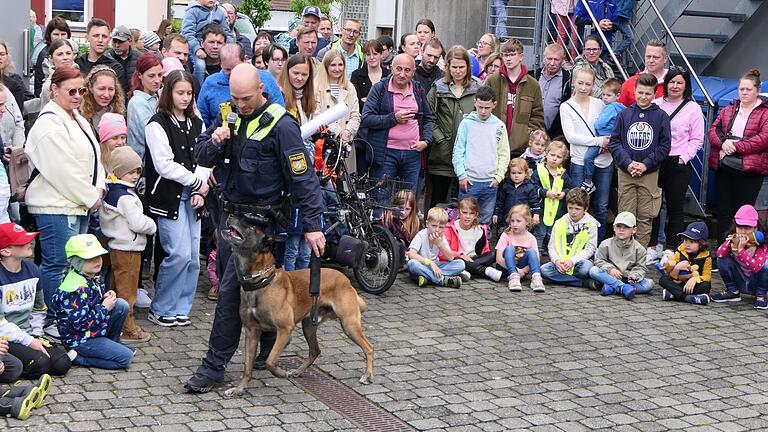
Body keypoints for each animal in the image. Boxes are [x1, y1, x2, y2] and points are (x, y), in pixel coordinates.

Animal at [219, 214, 376, 396]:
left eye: (250, 226)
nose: (231, 215)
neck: (261, 282)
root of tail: (345, 279)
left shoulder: (285, 329)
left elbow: (270, 360)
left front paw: (280, 373)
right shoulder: (251, 331)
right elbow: (247, 366)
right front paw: (239, 388)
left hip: (349, 324)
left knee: (369, 347)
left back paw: (367, 375)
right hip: (309, 326)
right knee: (315, 351)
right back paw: (299, 371)